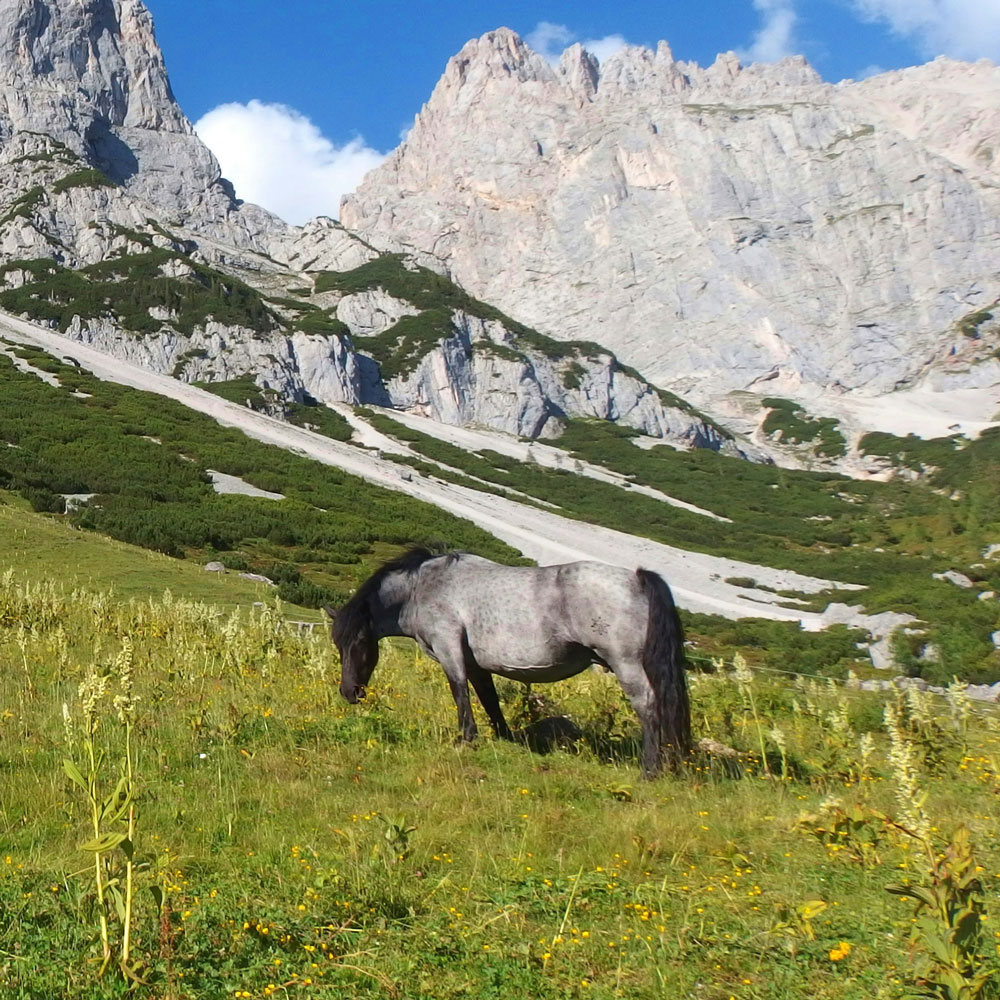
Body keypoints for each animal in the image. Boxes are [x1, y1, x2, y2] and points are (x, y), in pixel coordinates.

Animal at [324, 548, 692, 772]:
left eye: (360, 642)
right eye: (338, 645)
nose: (348, 692)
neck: (422, 588)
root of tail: (637, 577)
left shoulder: (449, 648)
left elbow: (460, 693)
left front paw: (466, 739)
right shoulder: (475, 662)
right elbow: (489, 699)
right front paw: (504, 738)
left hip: (626, 664)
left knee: (648, 706)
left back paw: (649, 769)